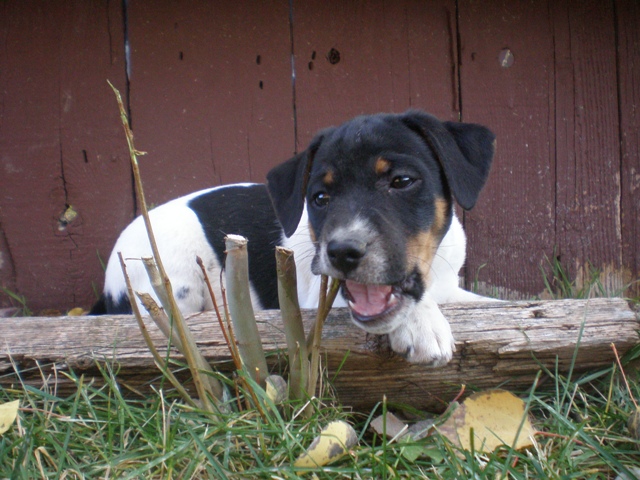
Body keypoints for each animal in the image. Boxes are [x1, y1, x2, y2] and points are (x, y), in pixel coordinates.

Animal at [94, 110, 496, 366]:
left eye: (401, 181)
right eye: (319, 197)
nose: (342, 252)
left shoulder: (450, 287)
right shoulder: (316, 295)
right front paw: (421, 323)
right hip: (172, 282)